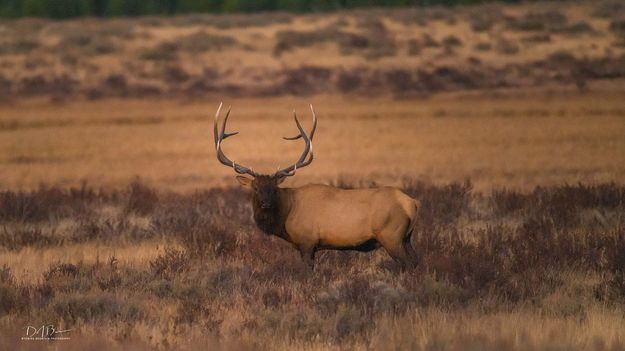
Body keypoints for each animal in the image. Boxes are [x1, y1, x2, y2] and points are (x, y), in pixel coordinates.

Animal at [212, 103, 422, 268]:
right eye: (255, 188)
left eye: (273, 188)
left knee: (408, 264)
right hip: (407, 238)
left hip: (391, 236)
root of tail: (412, 203)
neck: (286, 215)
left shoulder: (307, 241)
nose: (265, 203)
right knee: (417, 261)